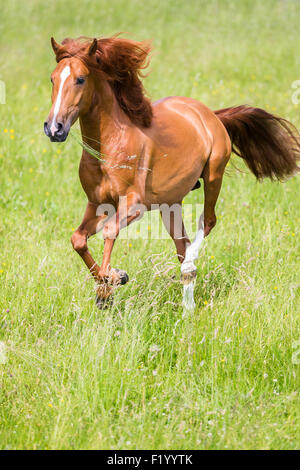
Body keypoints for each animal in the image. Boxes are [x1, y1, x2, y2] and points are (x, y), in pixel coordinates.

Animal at [43, 37, 298, 308]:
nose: (54, 128)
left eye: (80, 79)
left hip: (213, 176)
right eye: (53, 78)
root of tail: (210, 115)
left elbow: (110, 231)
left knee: (206, 224)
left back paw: (190, 267)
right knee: (181, 245)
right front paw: (108, 287)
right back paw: (188, 299)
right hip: (170, 204)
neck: (109, 146)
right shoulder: (98, 204)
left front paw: (112, 280)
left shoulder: (133, 205)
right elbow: (78, 239)